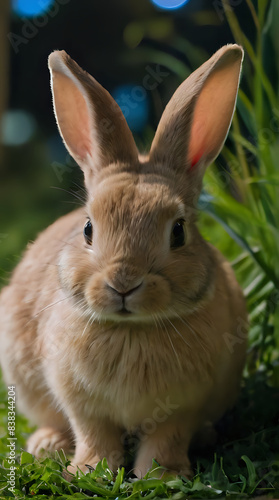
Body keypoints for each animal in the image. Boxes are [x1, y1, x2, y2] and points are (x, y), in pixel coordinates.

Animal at [0, 45, 249, 478]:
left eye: (178, 231)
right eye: (87, 228)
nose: (123, 283)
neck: (132, 329)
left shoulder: (183, 408)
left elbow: (166, 439)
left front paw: (163, 476)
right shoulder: (81, 403)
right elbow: (93, 432)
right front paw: (90, 470)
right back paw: (48, 445)